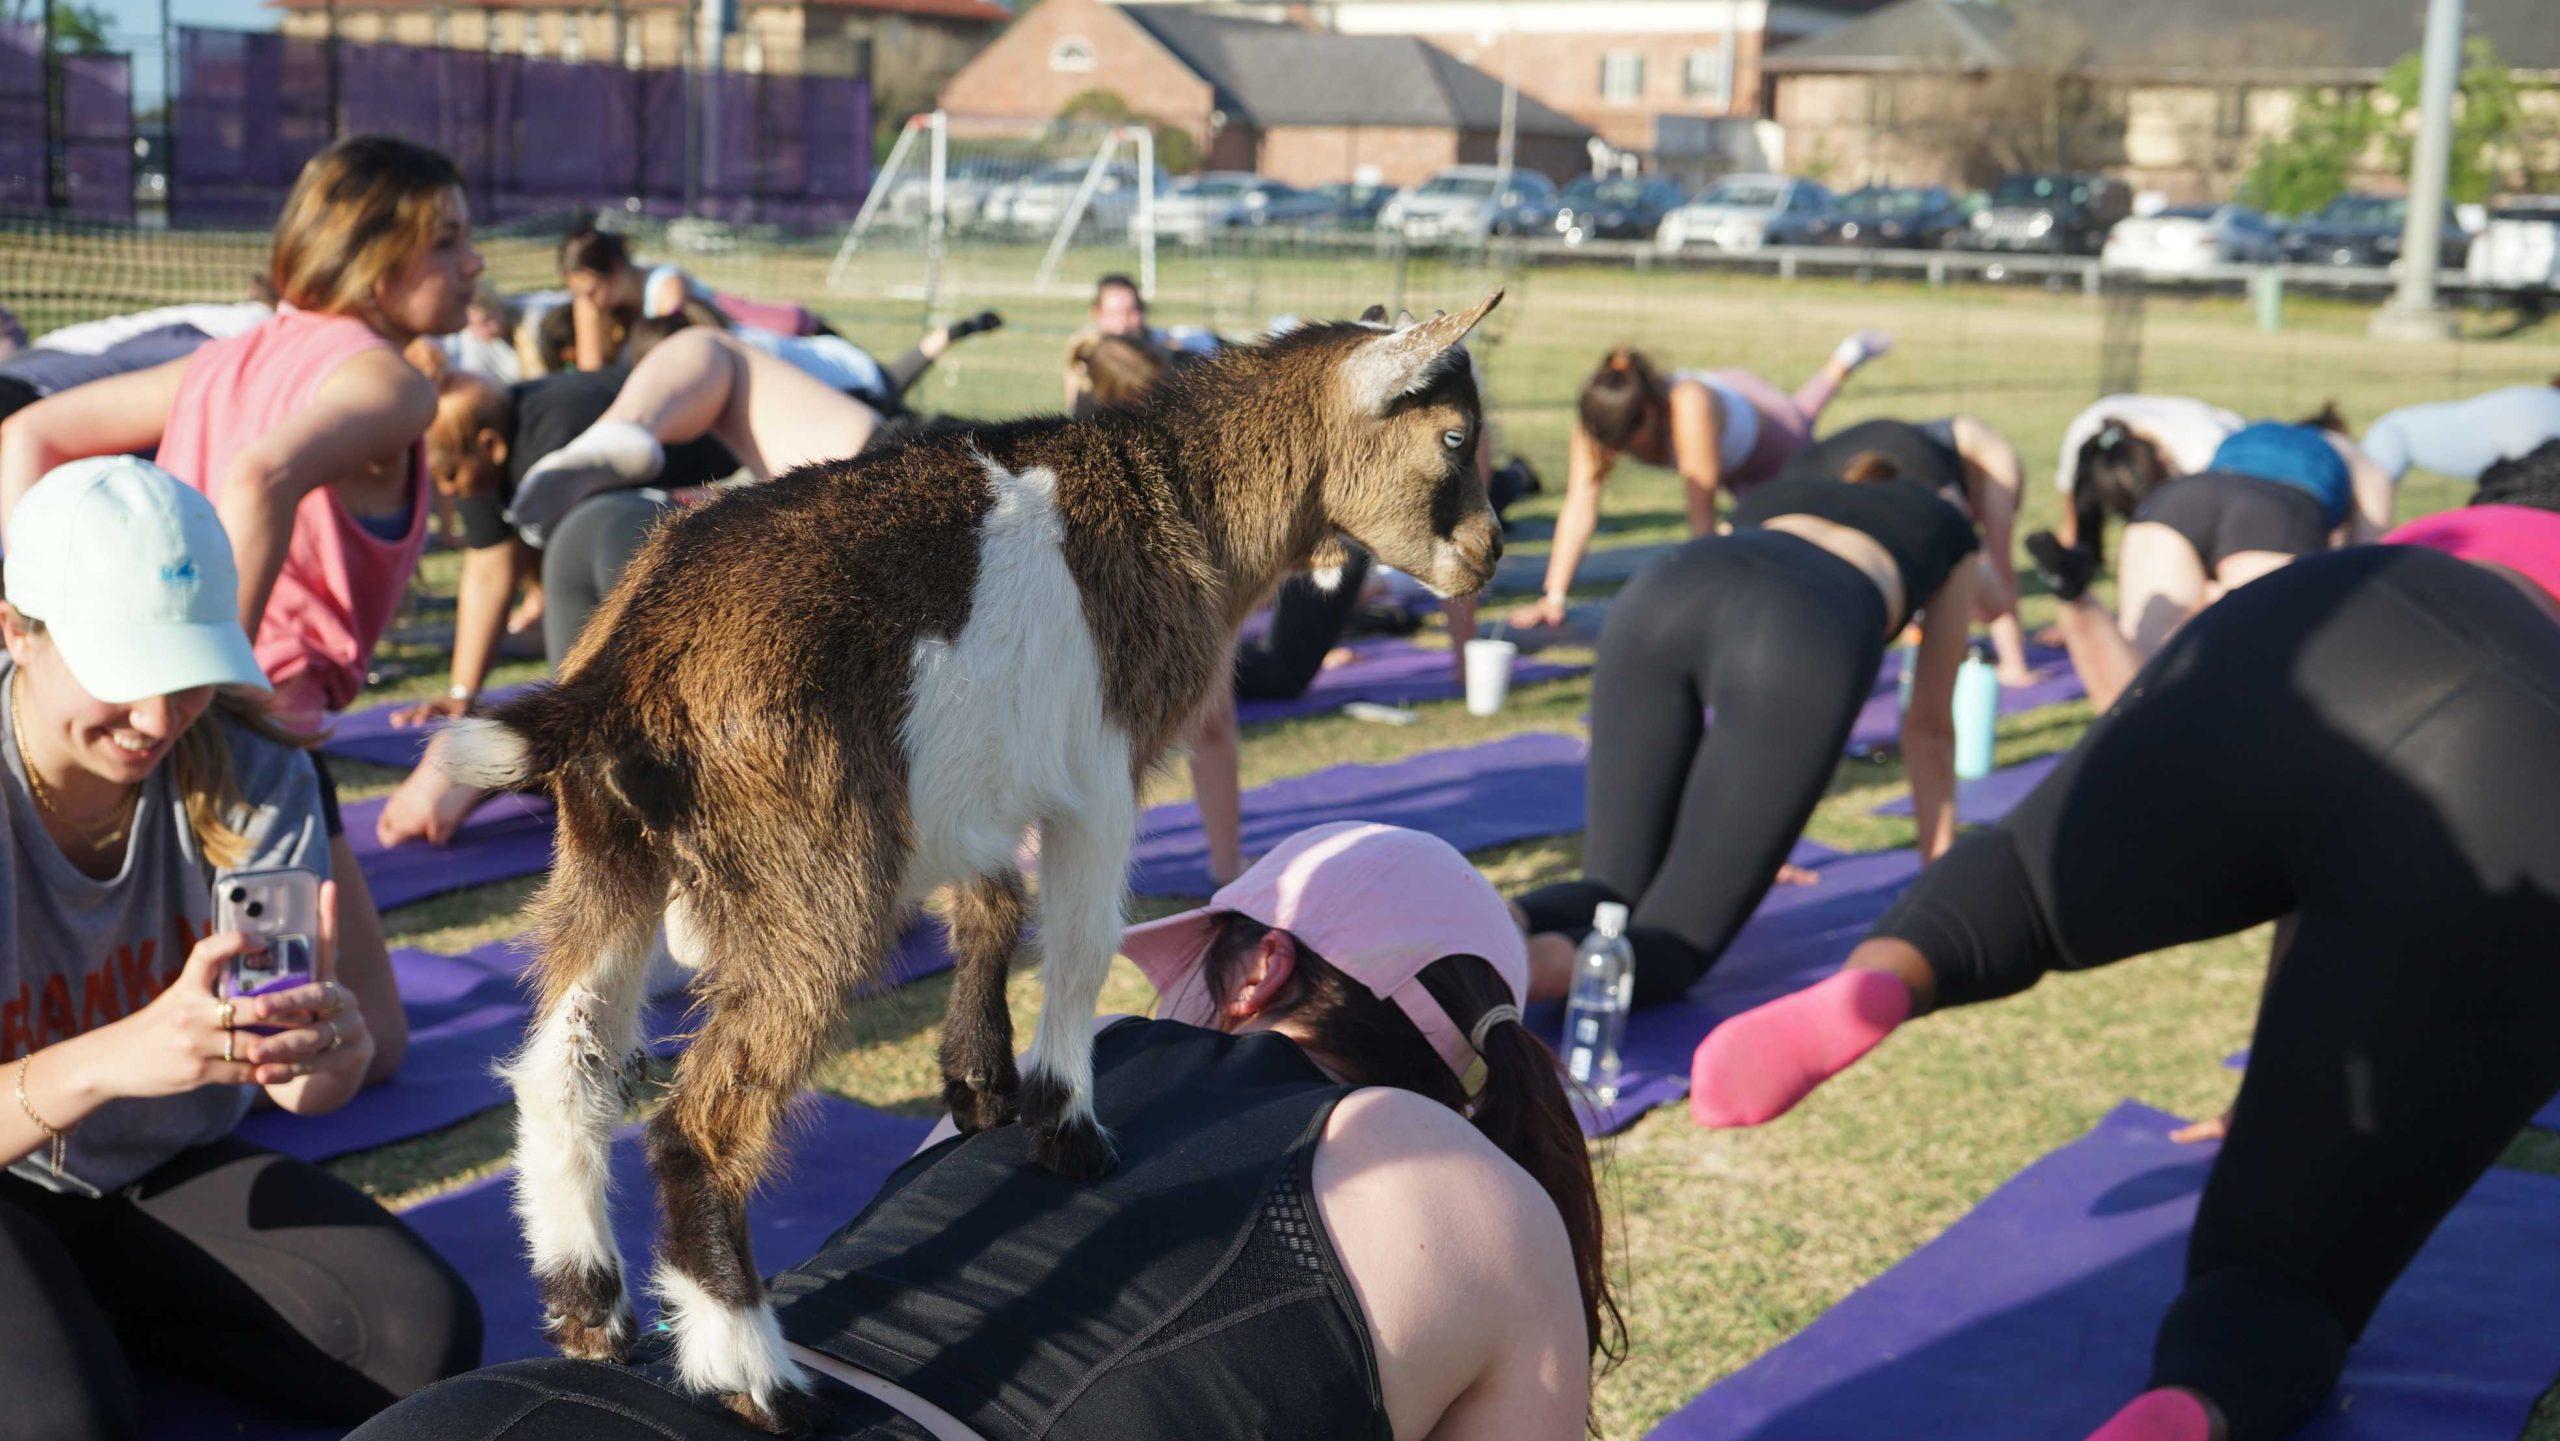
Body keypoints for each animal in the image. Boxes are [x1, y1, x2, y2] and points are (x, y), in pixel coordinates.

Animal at [445, 295, 1495, 1433]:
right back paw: (751, 1371)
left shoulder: (966, 783)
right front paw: (1066, 1126)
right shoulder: (1103, 773)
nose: (1487, 555)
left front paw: (978, 1081)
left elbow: (992, 899)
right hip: (814, 879)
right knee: (696, 1123)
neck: (1176, 495)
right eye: (1453, 439)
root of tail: (626, 670)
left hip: (609, 861)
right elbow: (1079, 946)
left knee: (563, 1074)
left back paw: (588, 1310)